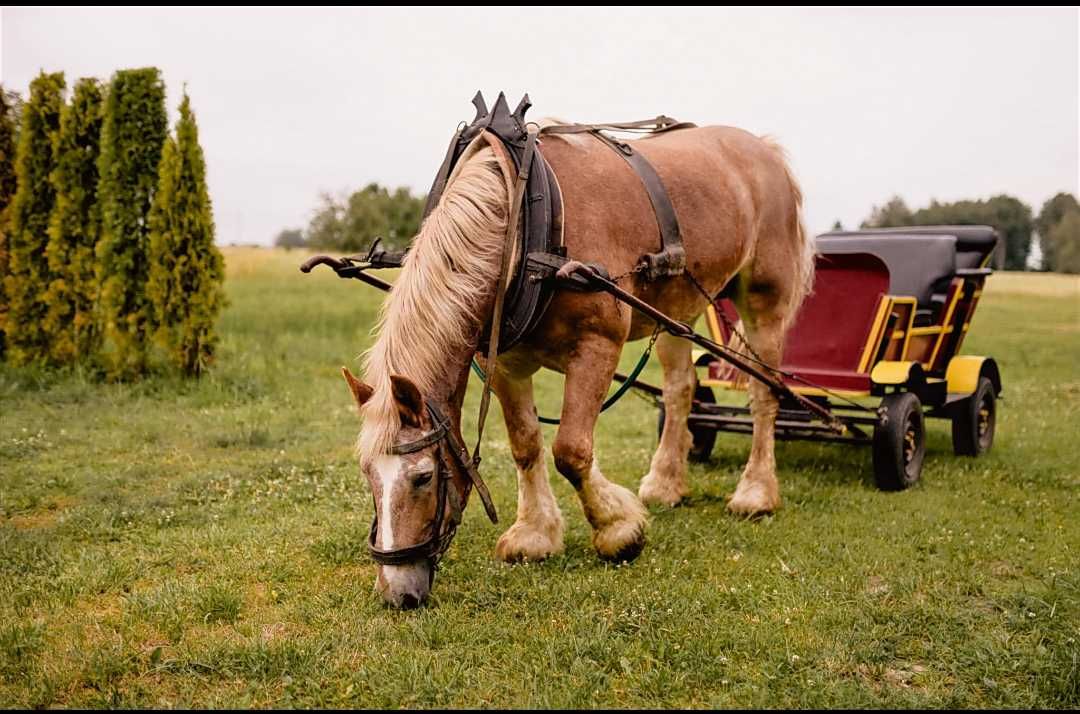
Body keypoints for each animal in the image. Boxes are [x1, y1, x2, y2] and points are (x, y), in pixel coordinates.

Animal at [341, 117, 812, 609]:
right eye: (368, 474)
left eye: (423, 477)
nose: (397, 592)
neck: (525, 225)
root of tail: (763, 148)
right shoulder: (505, 361)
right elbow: (526, 445)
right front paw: (535, 533)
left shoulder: (598, 343)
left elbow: (571, 450)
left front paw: (618, 528)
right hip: (677, 308)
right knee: (681, 389)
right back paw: (666, 482)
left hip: (764, 299)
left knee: (765, 392)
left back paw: (756, 492)